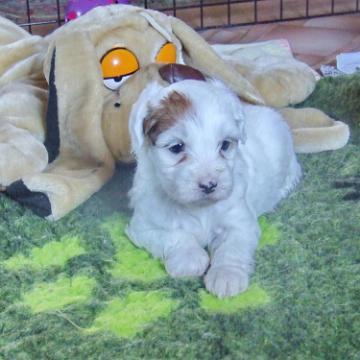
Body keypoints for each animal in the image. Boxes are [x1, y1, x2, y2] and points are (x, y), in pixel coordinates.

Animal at [126, 79, 300, 298]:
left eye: (225, 145)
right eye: (176, 147)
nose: (209, 185)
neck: (197, 208)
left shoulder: (240, 221)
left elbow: (231, 246)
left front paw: (226, 276)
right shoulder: (143, 226)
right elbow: (175, 235)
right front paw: (190, 258)